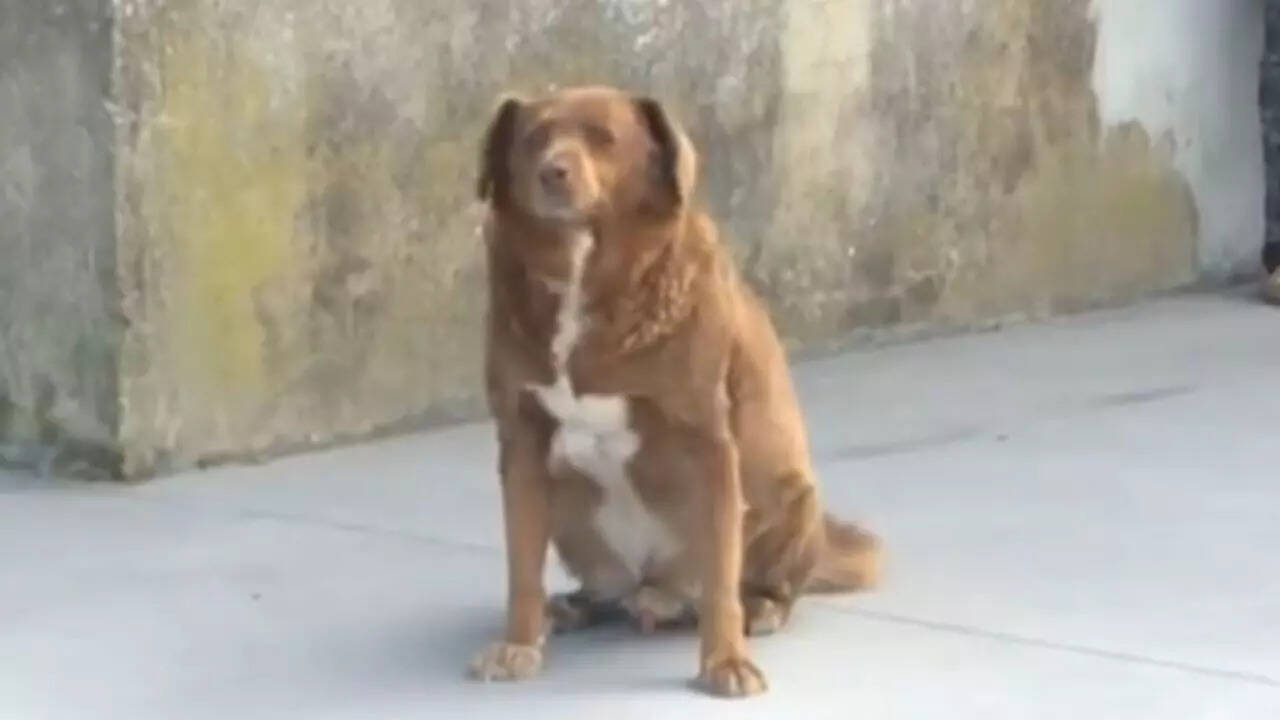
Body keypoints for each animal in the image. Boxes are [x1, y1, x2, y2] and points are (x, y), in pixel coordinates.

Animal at [467, 85, 881, 697]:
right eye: (534, 137)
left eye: (604, 137)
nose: (552, 172)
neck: (587, 279)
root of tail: (653, 585)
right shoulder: (522, 442)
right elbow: (522, 567)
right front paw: (518, 643)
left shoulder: (707, 442)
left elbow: (720, 584)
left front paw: (725, 661)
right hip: (566, 507)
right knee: (600, 588)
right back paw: (572, 606)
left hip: (795, 499)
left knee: (750, 586)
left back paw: (760, 607)